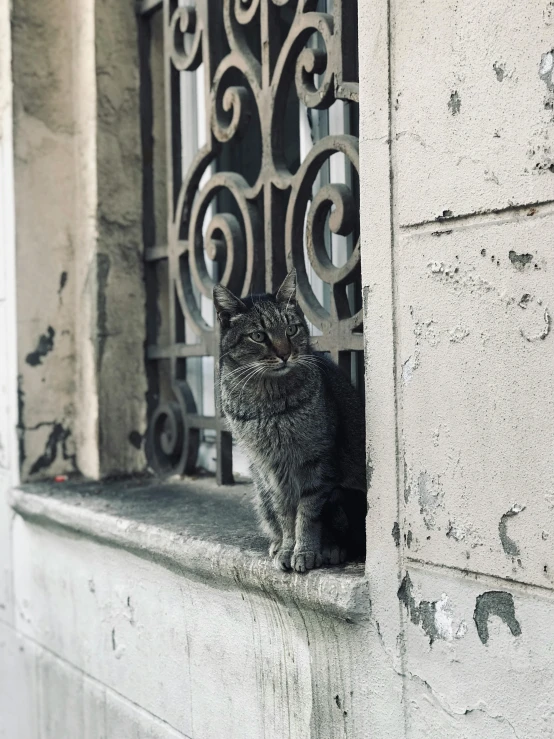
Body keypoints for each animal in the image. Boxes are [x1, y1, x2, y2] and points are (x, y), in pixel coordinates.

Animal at [213, 270, 364, 572]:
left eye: (291, 330)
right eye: (258, 336)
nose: (285, 354)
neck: (269, 404)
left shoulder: (316, 463)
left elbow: (307, 513)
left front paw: (304, 551)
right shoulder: (271, 471)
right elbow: (285, 515)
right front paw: (286, 548)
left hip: (346, 497)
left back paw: (331, 549)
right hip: (260, 489)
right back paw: (276, 544)